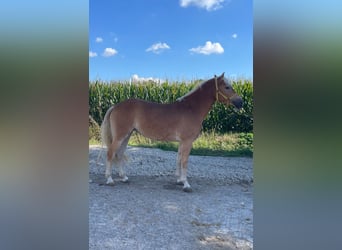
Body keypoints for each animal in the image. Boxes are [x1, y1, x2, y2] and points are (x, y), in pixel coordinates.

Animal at [100, 71, 242, 192]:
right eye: (227, 87)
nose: (241, 102)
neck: (191, 109)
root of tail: (115, 106)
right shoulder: (187, 141)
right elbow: (184, 161)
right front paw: (186, 184)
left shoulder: (182, 142)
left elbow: (179, 159)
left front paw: (179, 180)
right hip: (120, 136)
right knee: (110, 153)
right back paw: (109, 179)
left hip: (127, 135)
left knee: (119, 154)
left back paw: (124, 177)